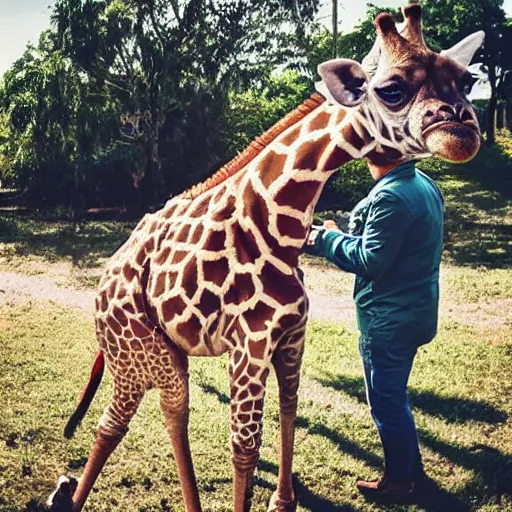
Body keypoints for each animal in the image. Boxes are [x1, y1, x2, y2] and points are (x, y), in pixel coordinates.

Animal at [50, 4, 486, 512]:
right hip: (136, 351)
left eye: (467, 79)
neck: (281, 224)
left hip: (162, 353)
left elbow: (290, 406)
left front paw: (283, 500)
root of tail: (104, 283)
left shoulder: (292, 334)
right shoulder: (249, 343)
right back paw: (69, 495)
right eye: (391, 89)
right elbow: (244, 444)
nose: (463, 132)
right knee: (117, 421)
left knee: (168, 414)